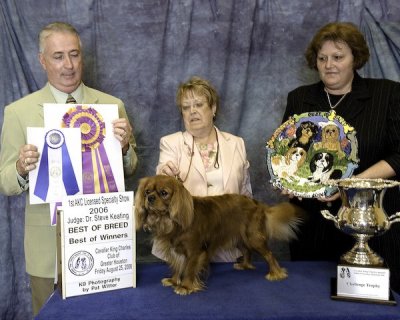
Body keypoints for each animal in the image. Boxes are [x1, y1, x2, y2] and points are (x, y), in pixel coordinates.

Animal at [134, 175, 304, 296]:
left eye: (164, 193)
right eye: (147, 192)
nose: (150, 198)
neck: (171, 221)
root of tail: (257, 204)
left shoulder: (195, 252)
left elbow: (189, 269)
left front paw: (186, 287)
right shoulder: (176, 251)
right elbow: (177, 266)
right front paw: (174, 280)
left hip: (253, 237)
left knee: (269, 254)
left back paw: (276, 273)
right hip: (240, 239)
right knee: (247, 251)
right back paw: (244, 265)